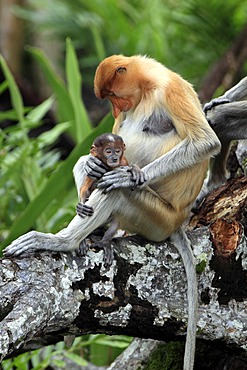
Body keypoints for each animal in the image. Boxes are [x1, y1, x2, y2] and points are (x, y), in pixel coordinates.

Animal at [75, 133, 145, 266]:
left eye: (117, 151)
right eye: (108, 151)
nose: (114, 158)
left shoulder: (123, 161)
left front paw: (135, 169)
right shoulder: (95, 170)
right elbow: (85, 188)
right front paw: (81, 207)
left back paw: (105, 242)